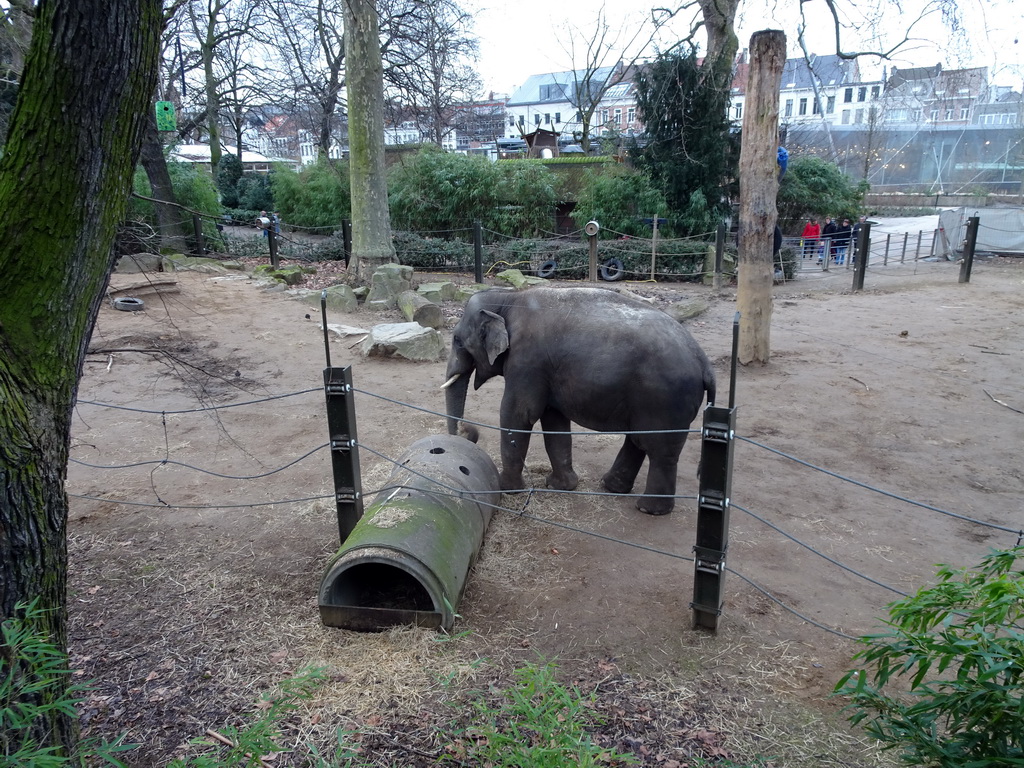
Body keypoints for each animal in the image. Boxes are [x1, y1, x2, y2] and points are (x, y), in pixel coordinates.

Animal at [442, 288, 720, 518]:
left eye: (457, 340)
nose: (467, 431)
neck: (508, 296)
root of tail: (705, 364)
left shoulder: (527, 360)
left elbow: (519, 414)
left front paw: (506, 489)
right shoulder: (546, 369)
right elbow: (553, 420)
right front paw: (561, 486)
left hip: (665, 399)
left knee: (659, 449)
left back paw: (648, 509)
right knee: (639, 440)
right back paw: (612, 487)